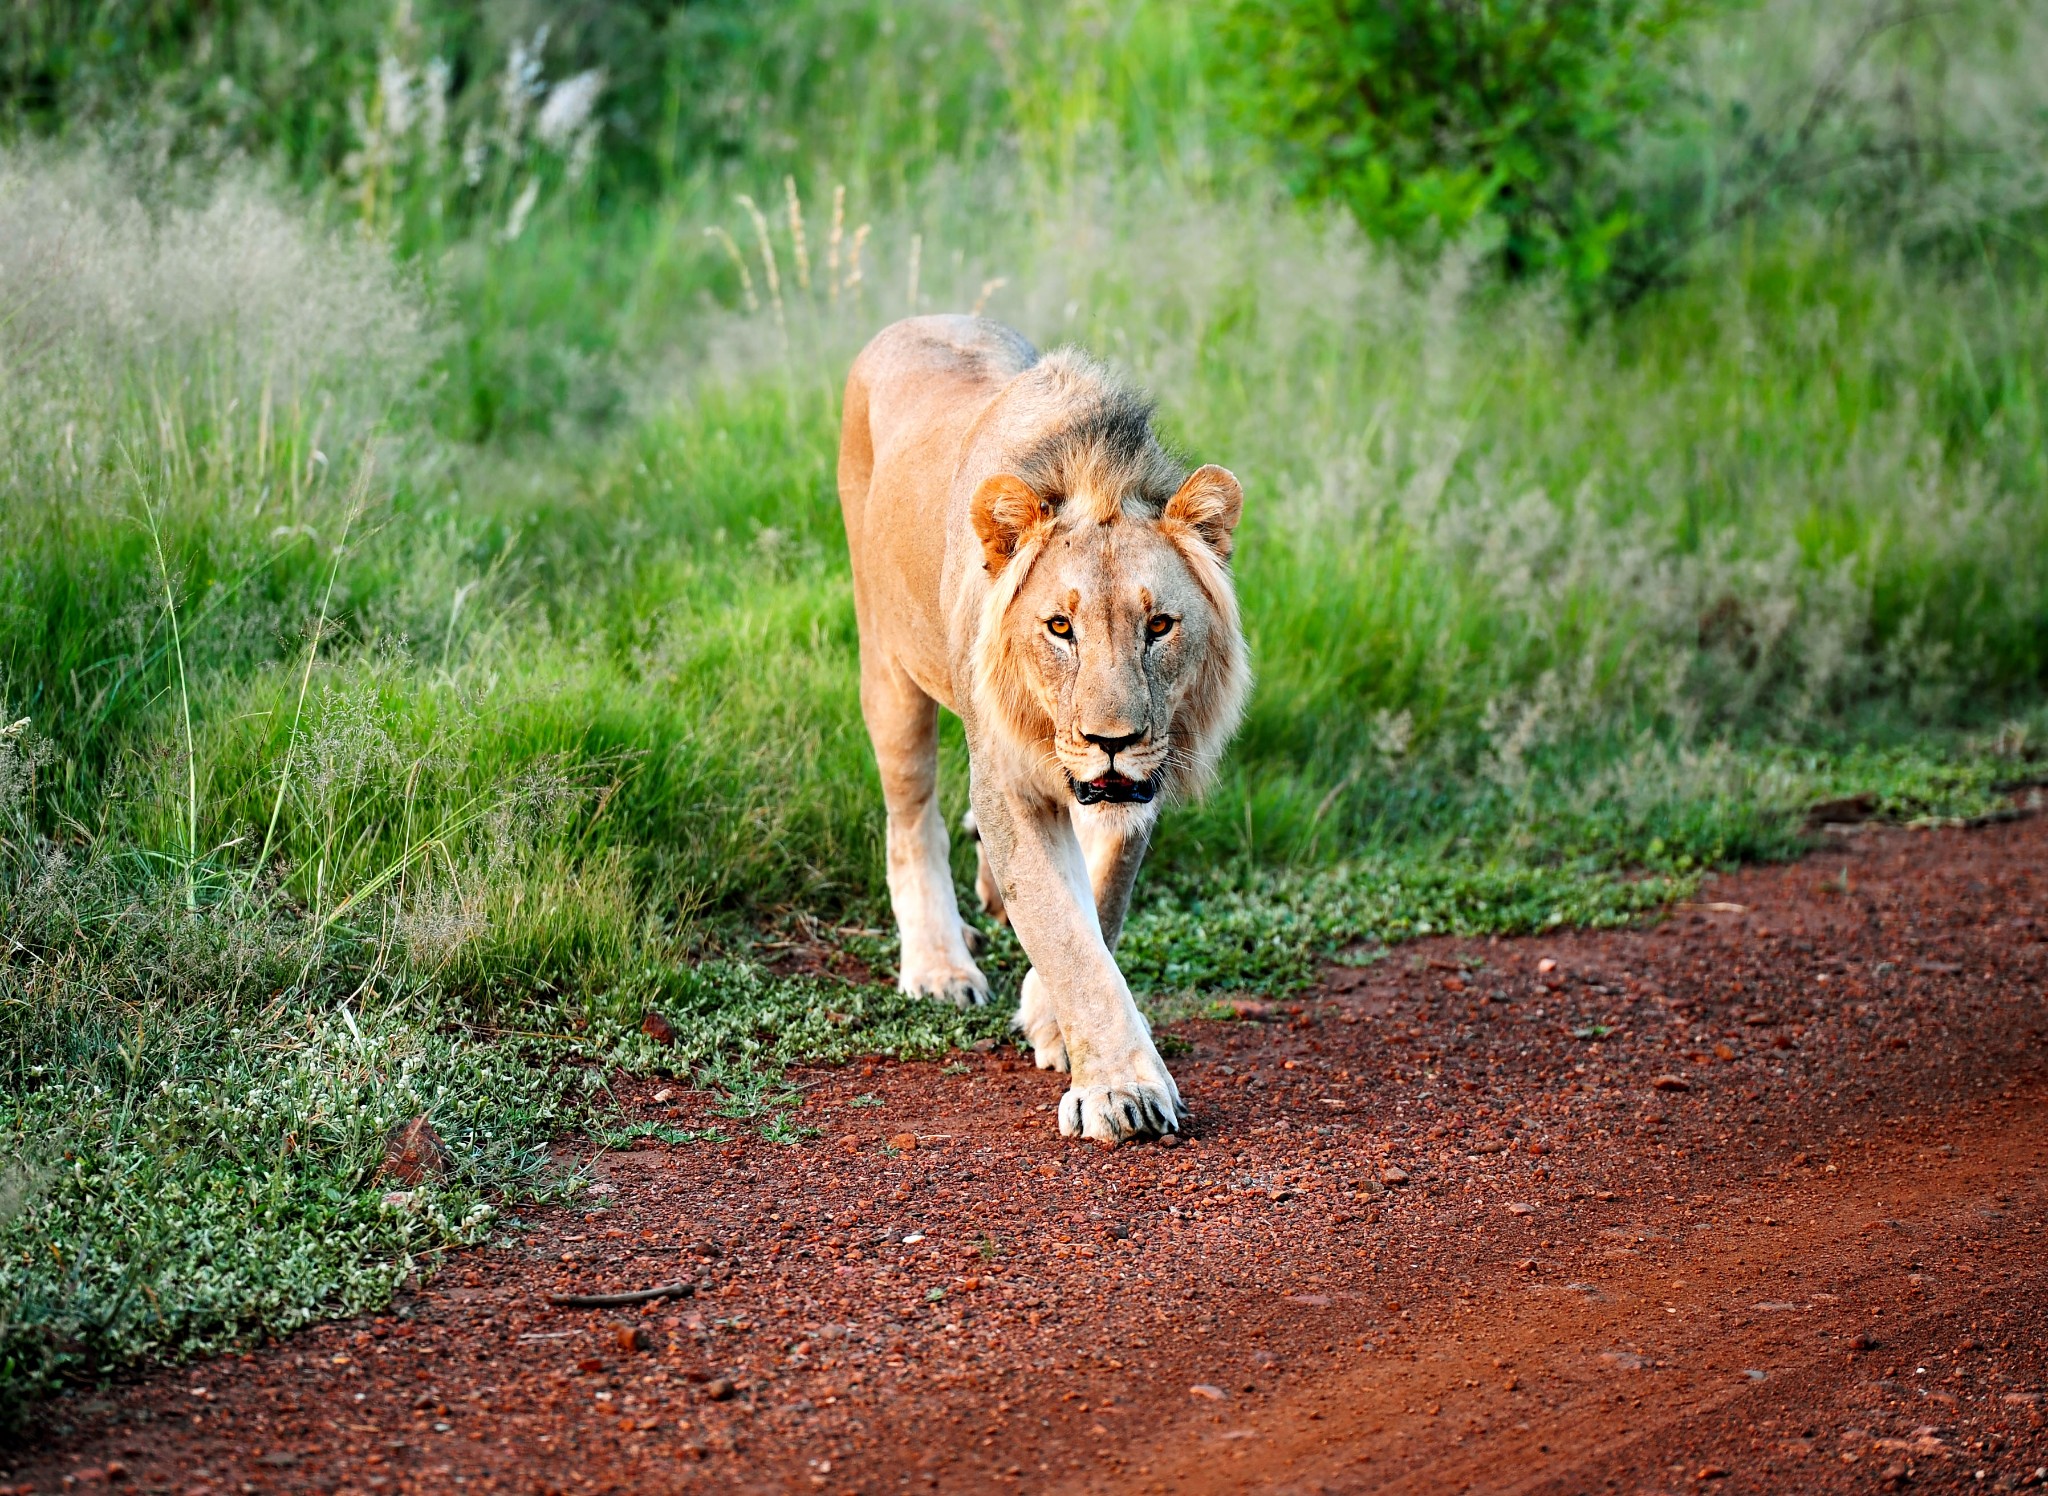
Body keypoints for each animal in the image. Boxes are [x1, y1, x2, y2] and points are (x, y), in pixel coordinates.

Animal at [831, 309, 1245, 1139]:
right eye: (1060, 627)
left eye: (1159, 626)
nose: (1110, 742)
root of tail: (916, 318)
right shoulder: (1010, 781)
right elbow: (1063, 931)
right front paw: (1121, 1092)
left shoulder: (1137, 783)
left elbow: (1100, 901)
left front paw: (1051, 1018)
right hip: (888, 662)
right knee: (910, 816)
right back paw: (939, 965)